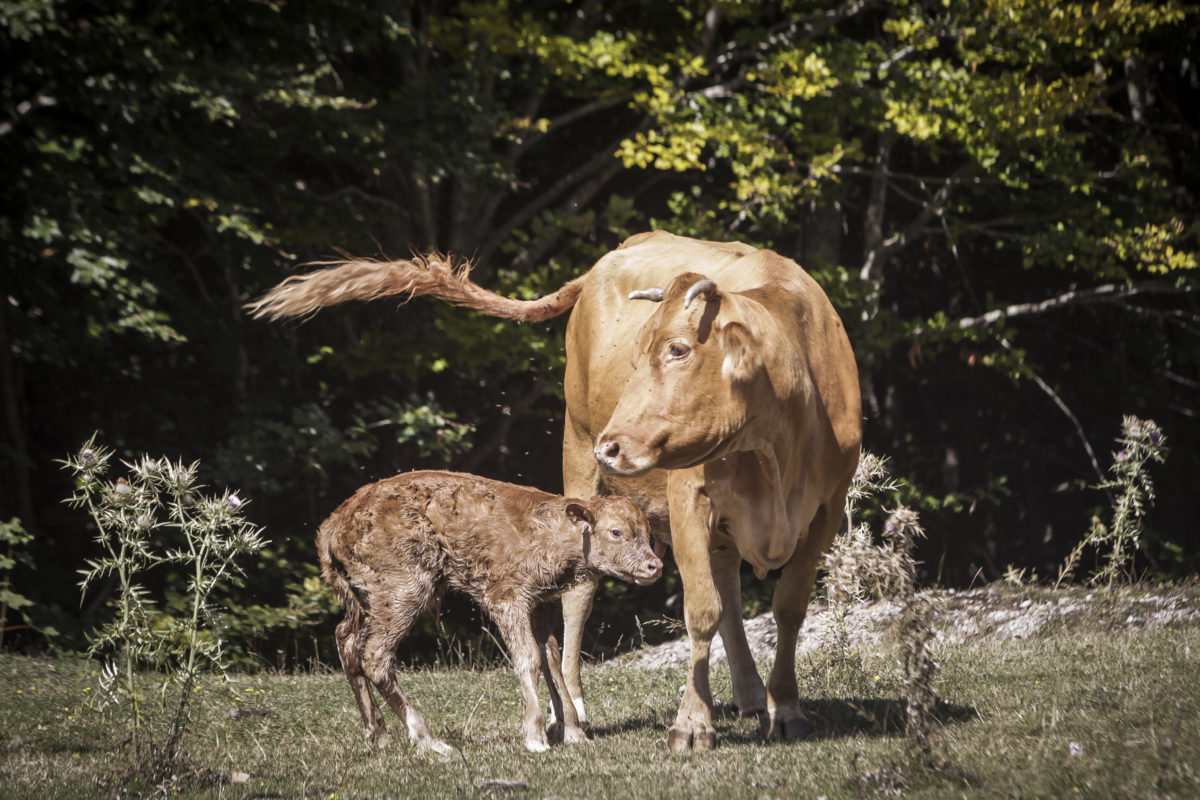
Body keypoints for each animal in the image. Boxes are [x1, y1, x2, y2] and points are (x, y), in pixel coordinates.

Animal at [314, 470, 662, 758]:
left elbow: (550, 659)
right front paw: (535, 736)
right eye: (616, 532)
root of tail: (333, 524)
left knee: (345, 638)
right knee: (375, 654)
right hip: (403, 588)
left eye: (648, 533)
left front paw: (574, 733)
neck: (554, 536)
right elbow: (528, 658)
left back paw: (379, 734)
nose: (654, 565)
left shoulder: (540, 604)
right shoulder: (506, 598)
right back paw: (429, 740)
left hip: (366, 597)